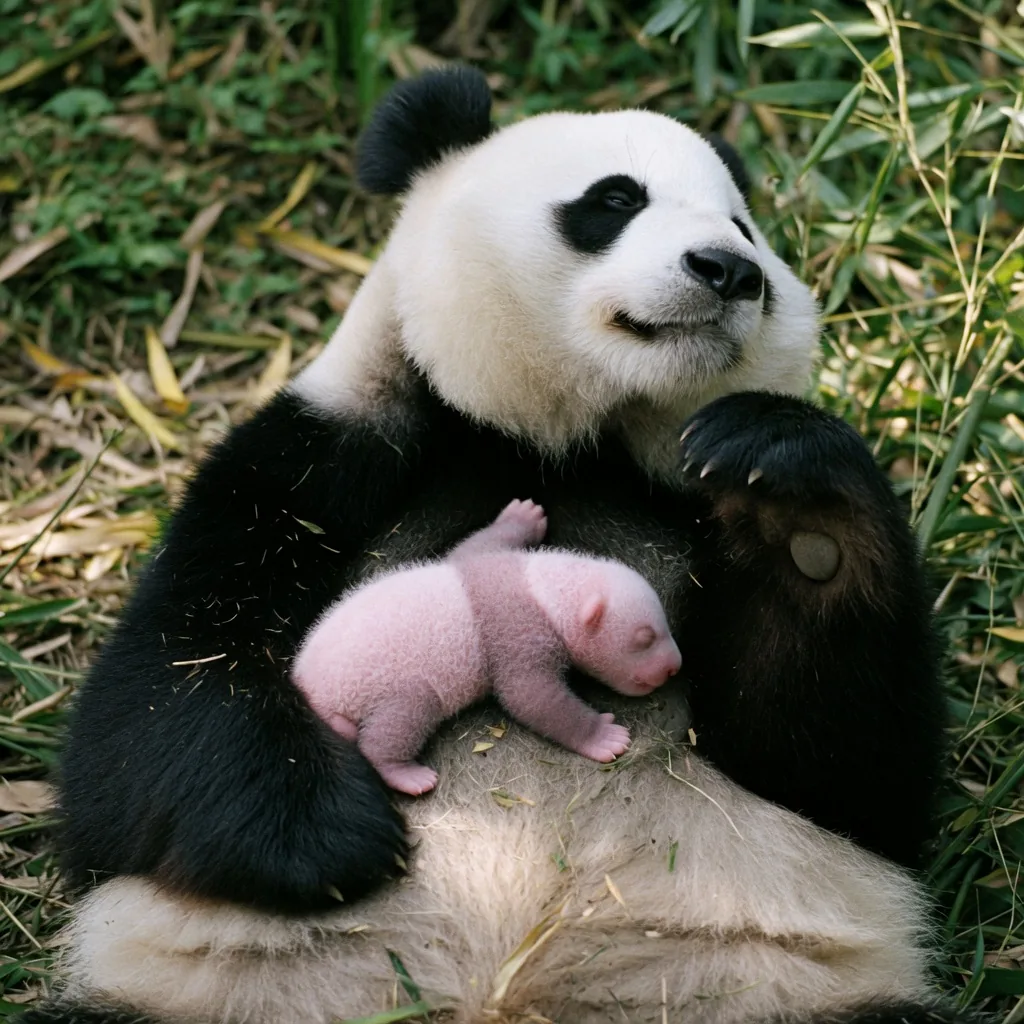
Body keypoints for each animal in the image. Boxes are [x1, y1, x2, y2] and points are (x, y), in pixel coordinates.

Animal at [23, 66, 976, 1024]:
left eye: (745, 229)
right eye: (615, 199)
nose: (730, 270)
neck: (566, 443)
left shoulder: (683, 507)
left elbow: (843, 773)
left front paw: (794, 501)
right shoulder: (323, 457)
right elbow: (146, 719)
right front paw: (338, 836)